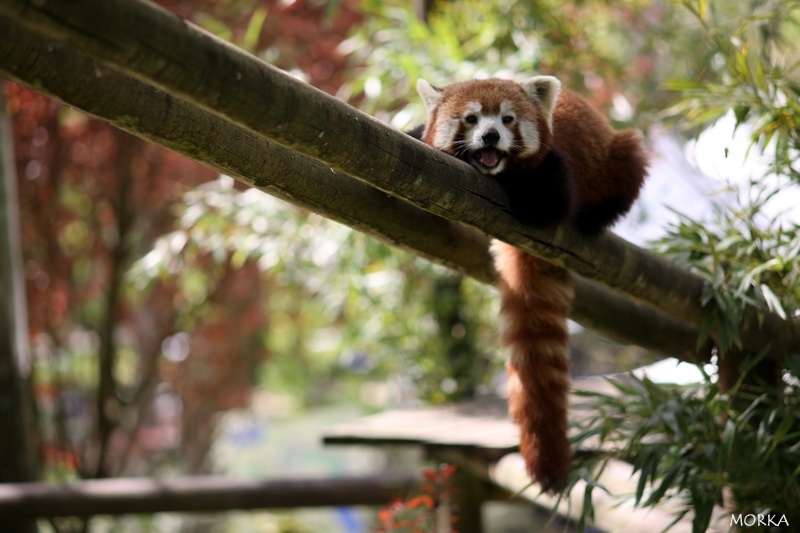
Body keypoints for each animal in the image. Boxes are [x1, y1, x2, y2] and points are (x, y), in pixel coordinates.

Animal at [410, 77, 648, 492]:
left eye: (507, 119)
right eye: (471, 119)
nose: (490, 136)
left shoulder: (555, 170)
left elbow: (548, 203)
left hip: (620, 157)